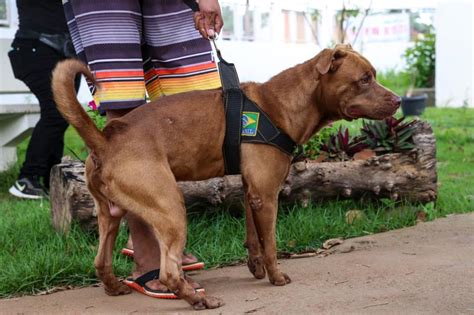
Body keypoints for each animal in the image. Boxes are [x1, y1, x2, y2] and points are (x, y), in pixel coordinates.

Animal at [51, 44, 400, 312]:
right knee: (168, 271)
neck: (282, 104)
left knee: (101, 260)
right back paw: (197, 300)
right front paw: (276, 276)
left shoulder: (252, 190)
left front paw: (256, 266)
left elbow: (254, 236)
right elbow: (271, 242)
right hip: (169, 207)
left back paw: (115, 287)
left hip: (110, 213)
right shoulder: (267, 195)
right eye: (364, 79)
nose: (398, 100)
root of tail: (105, 138)